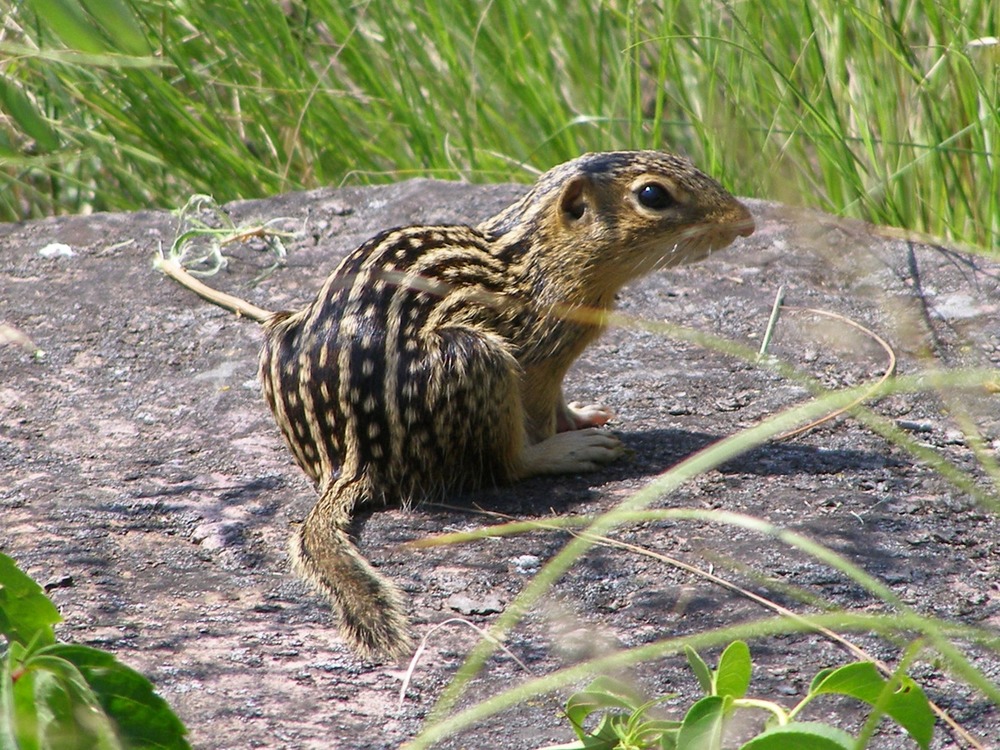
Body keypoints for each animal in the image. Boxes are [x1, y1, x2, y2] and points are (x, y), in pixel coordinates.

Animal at [157, 151, 754, 660]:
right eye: (653, 195)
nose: (747, 222)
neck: (533, 260)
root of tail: (345, 459)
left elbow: (561, 402)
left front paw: (584, 415)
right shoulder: (537, 358)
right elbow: (541, 414)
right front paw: (573, 436)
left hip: (280, 329)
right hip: (475, 355)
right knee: (507, 463)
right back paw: (568, 453)